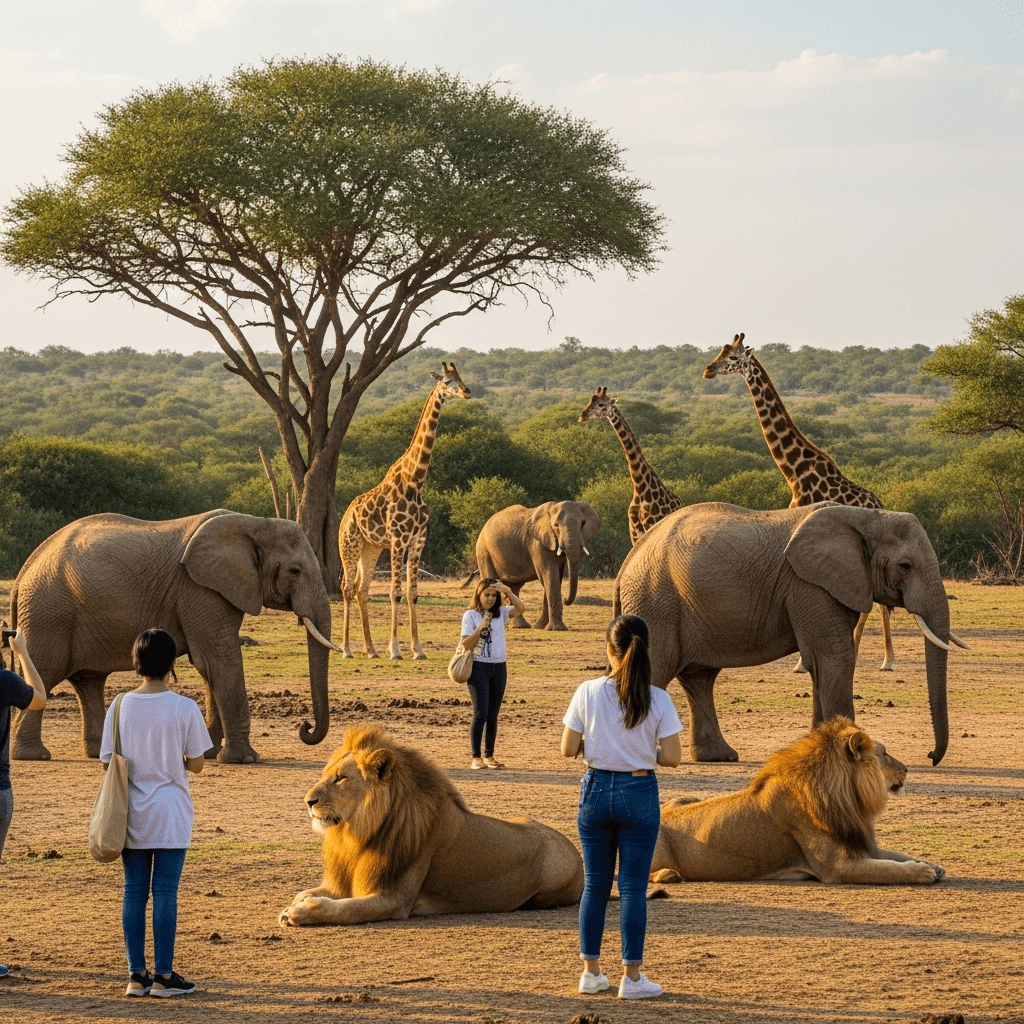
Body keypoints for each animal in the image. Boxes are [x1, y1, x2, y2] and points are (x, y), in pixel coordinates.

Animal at [339, 363, 471, 660]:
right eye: (447, 381)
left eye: (461, 377)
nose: (467, 391)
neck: (415, 481)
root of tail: (345, 516)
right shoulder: (399, 539)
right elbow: (394, 592)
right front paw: (396, 650)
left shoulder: (418, 539)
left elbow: (412, 593)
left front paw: (418, 649)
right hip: (349, 545)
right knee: (346, 588)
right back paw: (347, 649)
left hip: (371, 547)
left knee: (361, 589)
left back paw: (370, 650)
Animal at [702, 333, 896, 671]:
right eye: (721, 351)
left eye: (735, 357)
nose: (708, 370)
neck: (795, 472)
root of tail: (879, 503)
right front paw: (802, 662)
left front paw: (802, 663)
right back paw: (876, 656)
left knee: (873, 604)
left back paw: (882, 659)